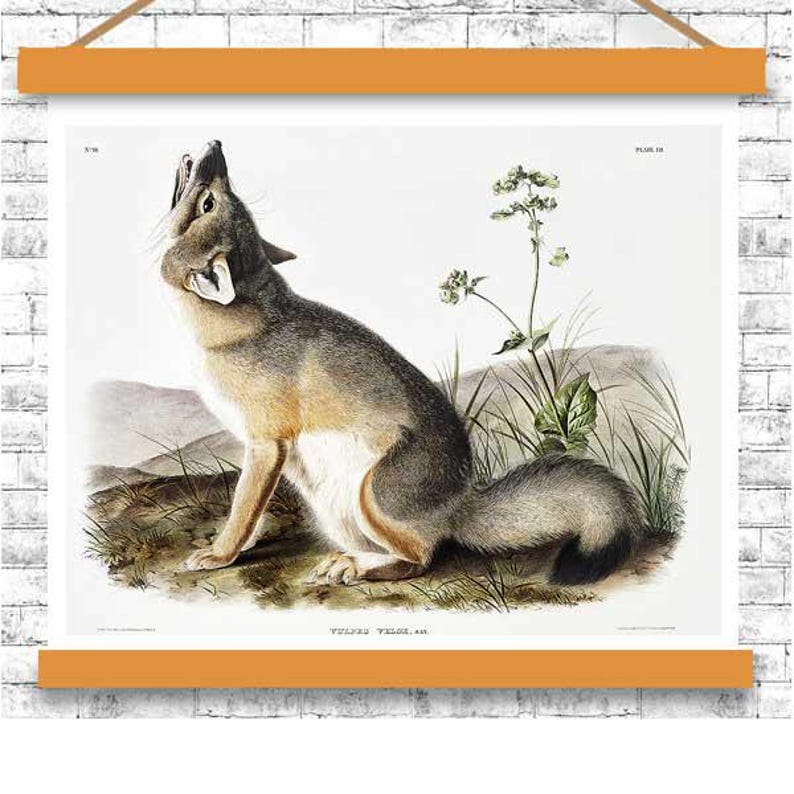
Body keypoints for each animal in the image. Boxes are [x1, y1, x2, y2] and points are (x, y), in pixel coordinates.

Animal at [161, 140, 645, 586]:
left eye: (210, 202)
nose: (217, 146)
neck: (247, 320)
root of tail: (459, 503)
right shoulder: (267, 452)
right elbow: (252, 512)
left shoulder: (265, 445)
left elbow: (243, 508)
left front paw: (220, 554)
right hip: (333, 506)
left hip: (372, 495)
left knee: (420, 557)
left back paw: (353, 566)